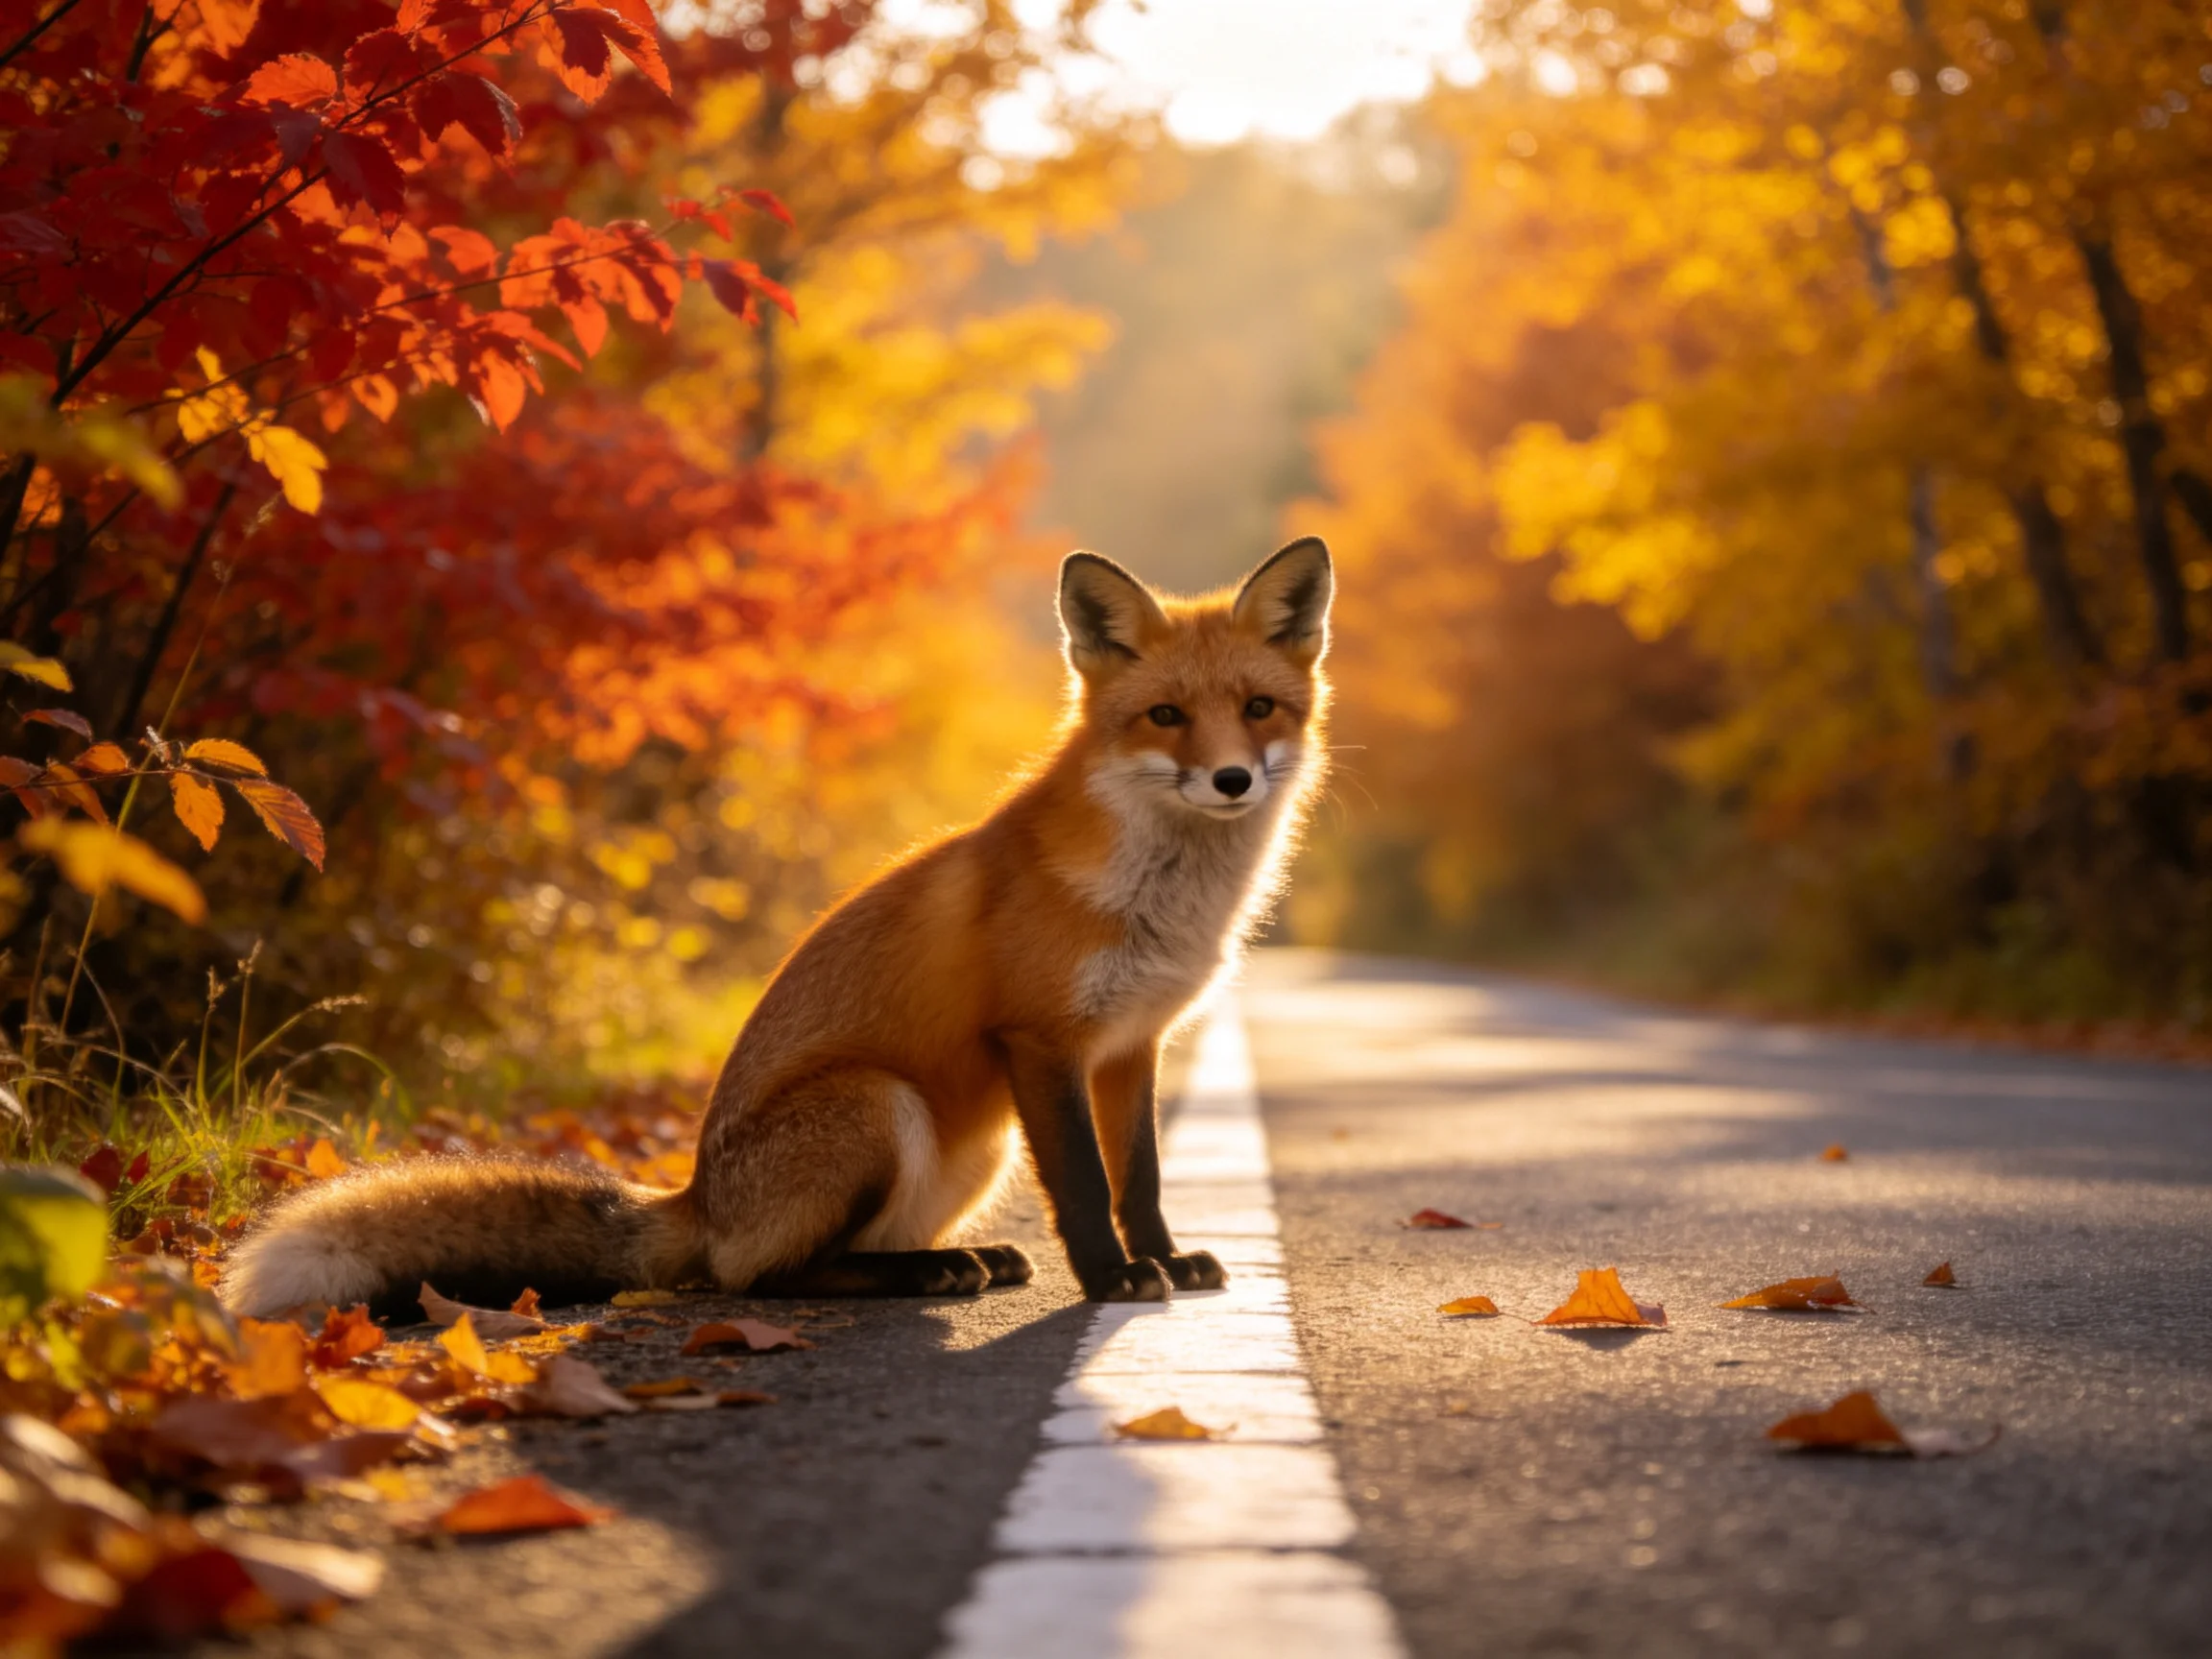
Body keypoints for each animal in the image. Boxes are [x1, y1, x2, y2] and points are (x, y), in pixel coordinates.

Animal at [220, 537, 1334, 1316]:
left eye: (1259, 708)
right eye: (1165, 718)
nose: (1231, 780)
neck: (1161, 895)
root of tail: (694, 1199)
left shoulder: (1131, 1046)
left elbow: (1139, 1180)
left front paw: (1165, 1260)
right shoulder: (1041, 1039)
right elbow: (1087, 1188)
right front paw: (1113, 1281)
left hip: (971, 1151)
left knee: (830, 1255)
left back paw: (957, 1259)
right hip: (880, 1103)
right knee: (762, 1277)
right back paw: (929, 1275)